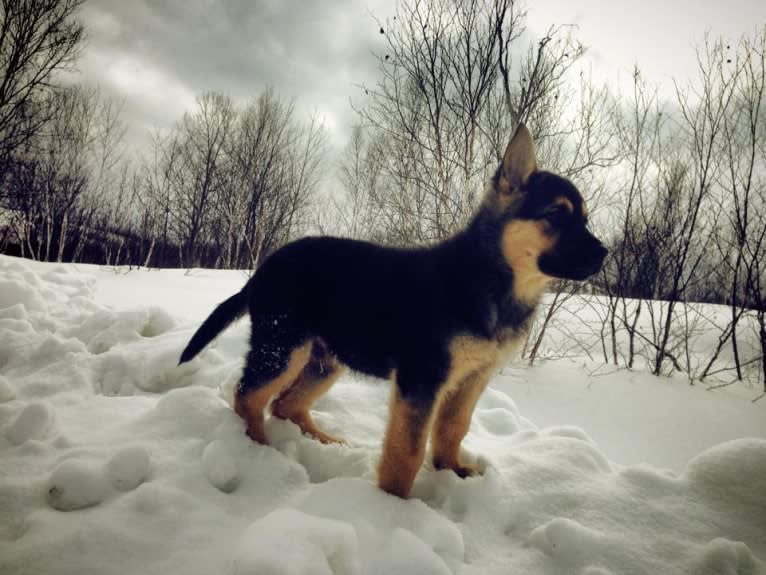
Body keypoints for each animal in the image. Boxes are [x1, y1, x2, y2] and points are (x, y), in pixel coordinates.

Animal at [178, 124, 608, 498]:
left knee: (285, 404)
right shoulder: (422, 378)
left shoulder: (472, 378)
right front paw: (393, 507)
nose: (605, 253)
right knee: (248, 395)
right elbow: (408, 451)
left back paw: (322, 441)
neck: (494, 277)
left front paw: (452, 470)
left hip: (325, 358)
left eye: (586, 218)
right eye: (556, 214)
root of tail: (263, 269)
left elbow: (454, 428)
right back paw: (258, 449)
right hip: (283, 345)